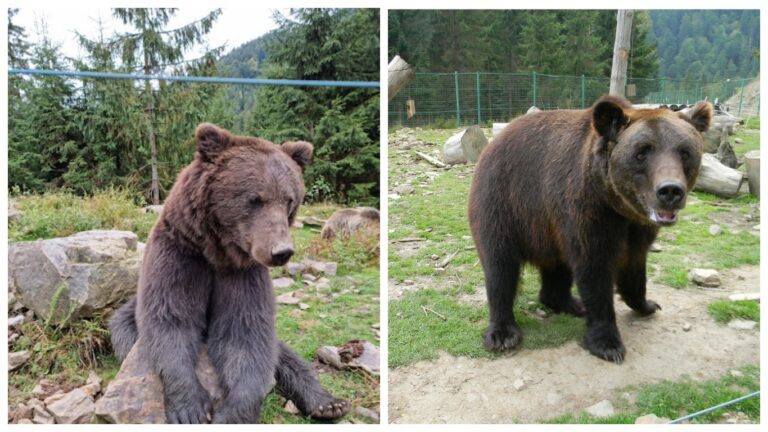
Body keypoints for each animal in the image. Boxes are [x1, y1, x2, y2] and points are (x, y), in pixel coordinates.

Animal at [109, 123, 350, 424]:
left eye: (289, 200)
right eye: (255, 199)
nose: (281, 251)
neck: (217, 252)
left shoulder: (243, 274)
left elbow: (245, 336)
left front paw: (232, 413)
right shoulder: (180, 256)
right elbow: (170, 320)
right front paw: (190, 409)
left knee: (283, 355)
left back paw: (328, 403)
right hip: (126, 320)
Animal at [468, 96, 712, 362]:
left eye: (685, 152)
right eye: (642, 152)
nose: (670, 191)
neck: (616, 204)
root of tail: (494, 142)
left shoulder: (637, 228)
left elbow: (634, 267)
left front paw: (647, 305)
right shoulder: (589, 212)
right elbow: (595, 270)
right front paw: (608, 343)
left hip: (548, 225)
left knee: (557, 266)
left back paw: (569, 303)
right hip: (504, 203)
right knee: (500, 267)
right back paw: (503, 333)